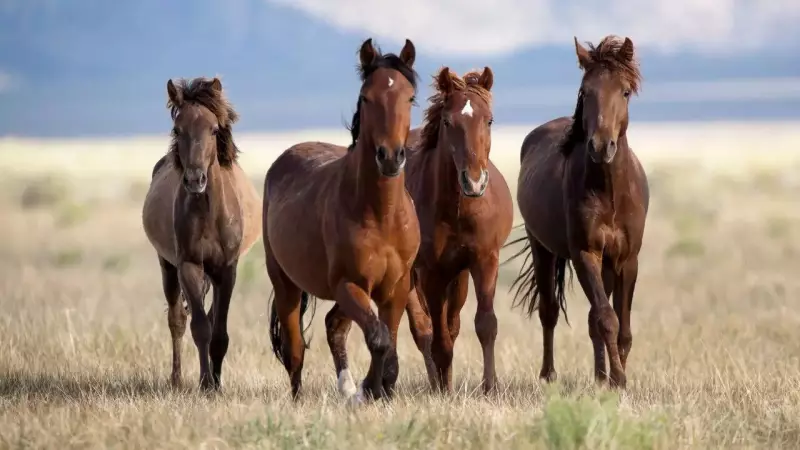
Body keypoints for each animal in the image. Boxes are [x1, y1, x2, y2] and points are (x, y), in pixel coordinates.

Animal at [142, 77, 262, 390]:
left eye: (214, 129)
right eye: (177, 129)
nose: (196, 180)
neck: (208, 212)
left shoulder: (226, 270)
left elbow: (219, 332)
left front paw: (216, 383)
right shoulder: (189, 266)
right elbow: (200, 328)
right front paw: (206, 384)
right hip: (167, 266)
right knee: (177, 320)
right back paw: (177, 379)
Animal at [263, 38, 420, 403]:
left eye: (410, 97)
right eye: (366, 97)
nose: (390, 157)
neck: (381, 215)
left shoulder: (396, 287)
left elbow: (389, 342)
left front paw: (377, 389)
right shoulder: (349, 285)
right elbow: (378, 338)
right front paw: (371, 390)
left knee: (335, 326)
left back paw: (348, 389)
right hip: (286, 284)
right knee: (295, 349)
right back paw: (301, 399)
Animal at [325, 67, 514, 394]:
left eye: (488, 120)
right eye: (448, 122)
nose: (474, 181)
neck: (457, 210)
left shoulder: (484, 260)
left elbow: (485, 325)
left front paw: (489, 387)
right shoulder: (430, 272)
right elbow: (437, 338)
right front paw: (444, 390)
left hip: (456, 276)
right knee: (424, 330)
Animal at [505, 35, 649, 388]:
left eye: (625, 91)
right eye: (585, 92)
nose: (600, 146)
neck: (610, 193)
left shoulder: (627, 260)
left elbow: (622, 327)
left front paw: (615, 377)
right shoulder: (586, 254)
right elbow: (607, 318)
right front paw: (618, 379)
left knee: (590, 318)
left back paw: (599, 377)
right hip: (542, 249)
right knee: (550, 311)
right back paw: (549, 375)